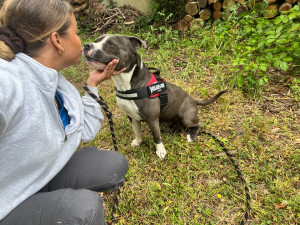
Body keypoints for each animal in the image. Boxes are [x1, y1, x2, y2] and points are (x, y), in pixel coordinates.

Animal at [82, 34, 227, 159]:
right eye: (96, 40)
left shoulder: (152, 119)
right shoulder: (132, 116)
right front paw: (138, 142)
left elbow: (156, 137)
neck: (127, 84)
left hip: (186, 117)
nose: (86, 45)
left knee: (198, 124)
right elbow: (137, 131)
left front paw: (161, 151)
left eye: (111, 44)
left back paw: (190, 136)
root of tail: (193, 100)